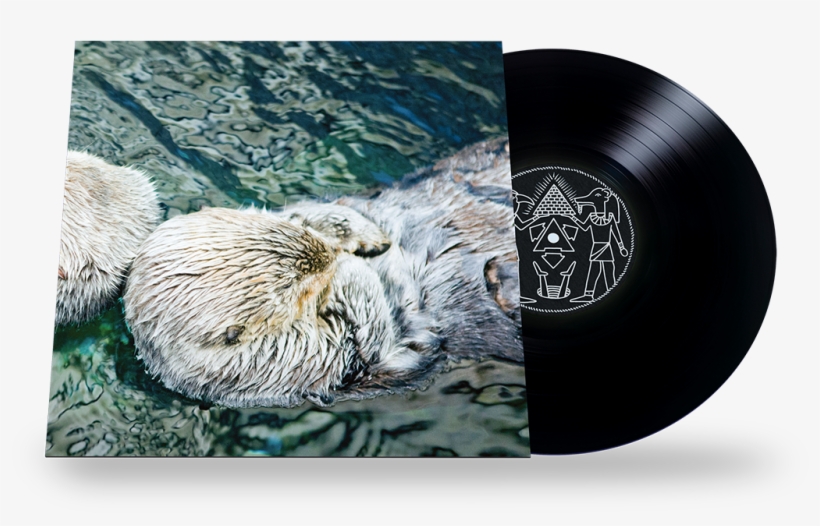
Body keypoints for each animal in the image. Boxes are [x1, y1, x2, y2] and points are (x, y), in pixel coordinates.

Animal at [123, 139, 521, 407]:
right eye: (299, 289)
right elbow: (375, 339)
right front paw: (351, 271)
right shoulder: (304, 362)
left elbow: (315, 209)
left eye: (296, 230)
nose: (332, 255)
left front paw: (361, 235)